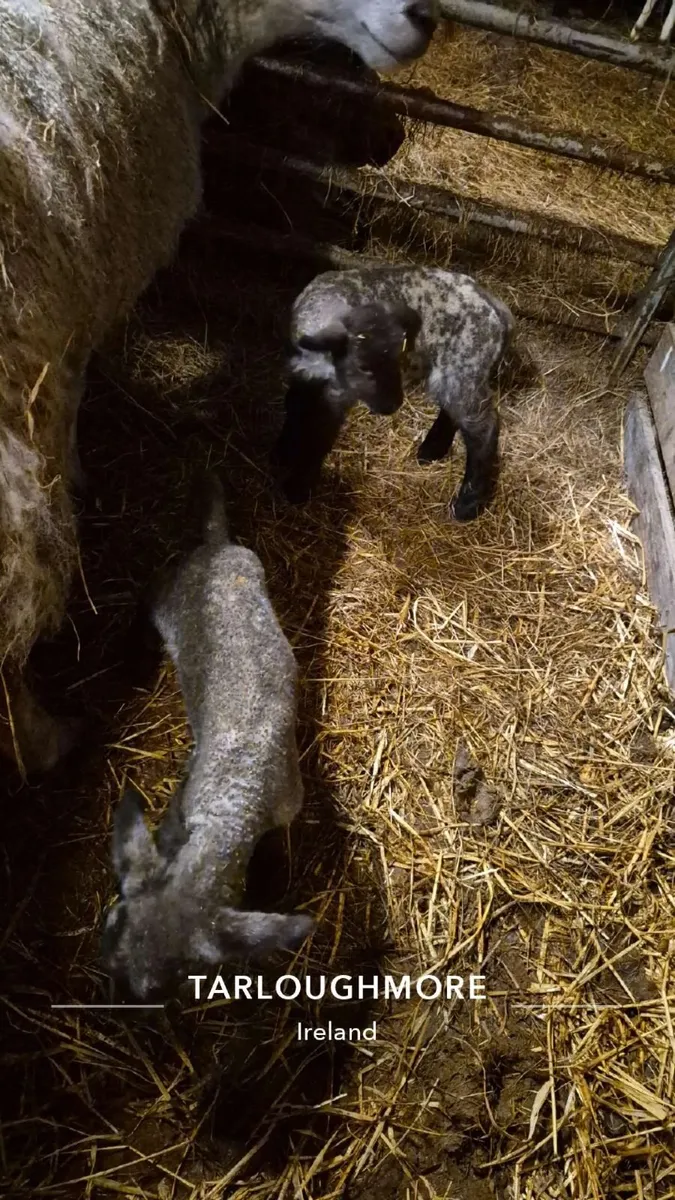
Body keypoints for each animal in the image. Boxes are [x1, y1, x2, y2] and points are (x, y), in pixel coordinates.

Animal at [101, 475, 313, 1001]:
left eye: (161, 986)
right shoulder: (185, 799)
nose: (105, 978)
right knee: (147, 591)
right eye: (113, 917)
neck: (238, 798)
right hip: (170, 594)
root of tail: (216, 545)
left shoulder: (285, 805)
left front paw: (271, 872)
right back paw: (132, 658)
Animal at [273, 265, 515, 521]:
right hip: (456, 371)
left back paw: (467, 504)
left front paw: (298, 487)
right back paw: (432, 450)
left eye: (398, 358)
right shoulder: (303, 377)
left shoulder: (337, 396)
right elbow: (295, 406)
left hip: (465, 365)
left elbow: (321, 433)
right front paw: (283, 451)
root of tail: (496, 308)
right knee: (454, 412)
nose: (392, 405)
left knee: (483, 429)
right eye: (362, 366)